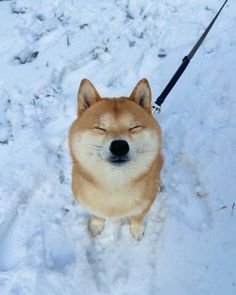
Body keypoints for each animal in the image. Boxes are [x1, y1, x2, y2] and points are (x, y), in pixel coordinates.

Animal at [69, 80, 163, 242]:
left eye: (134, 127)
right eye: (100, 129)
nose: (119, 146)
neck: (115, 183)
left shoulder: (145, 204)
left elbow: (137, 216)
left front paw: (137, 229)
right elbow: (96, 213)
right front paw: (96, 224)